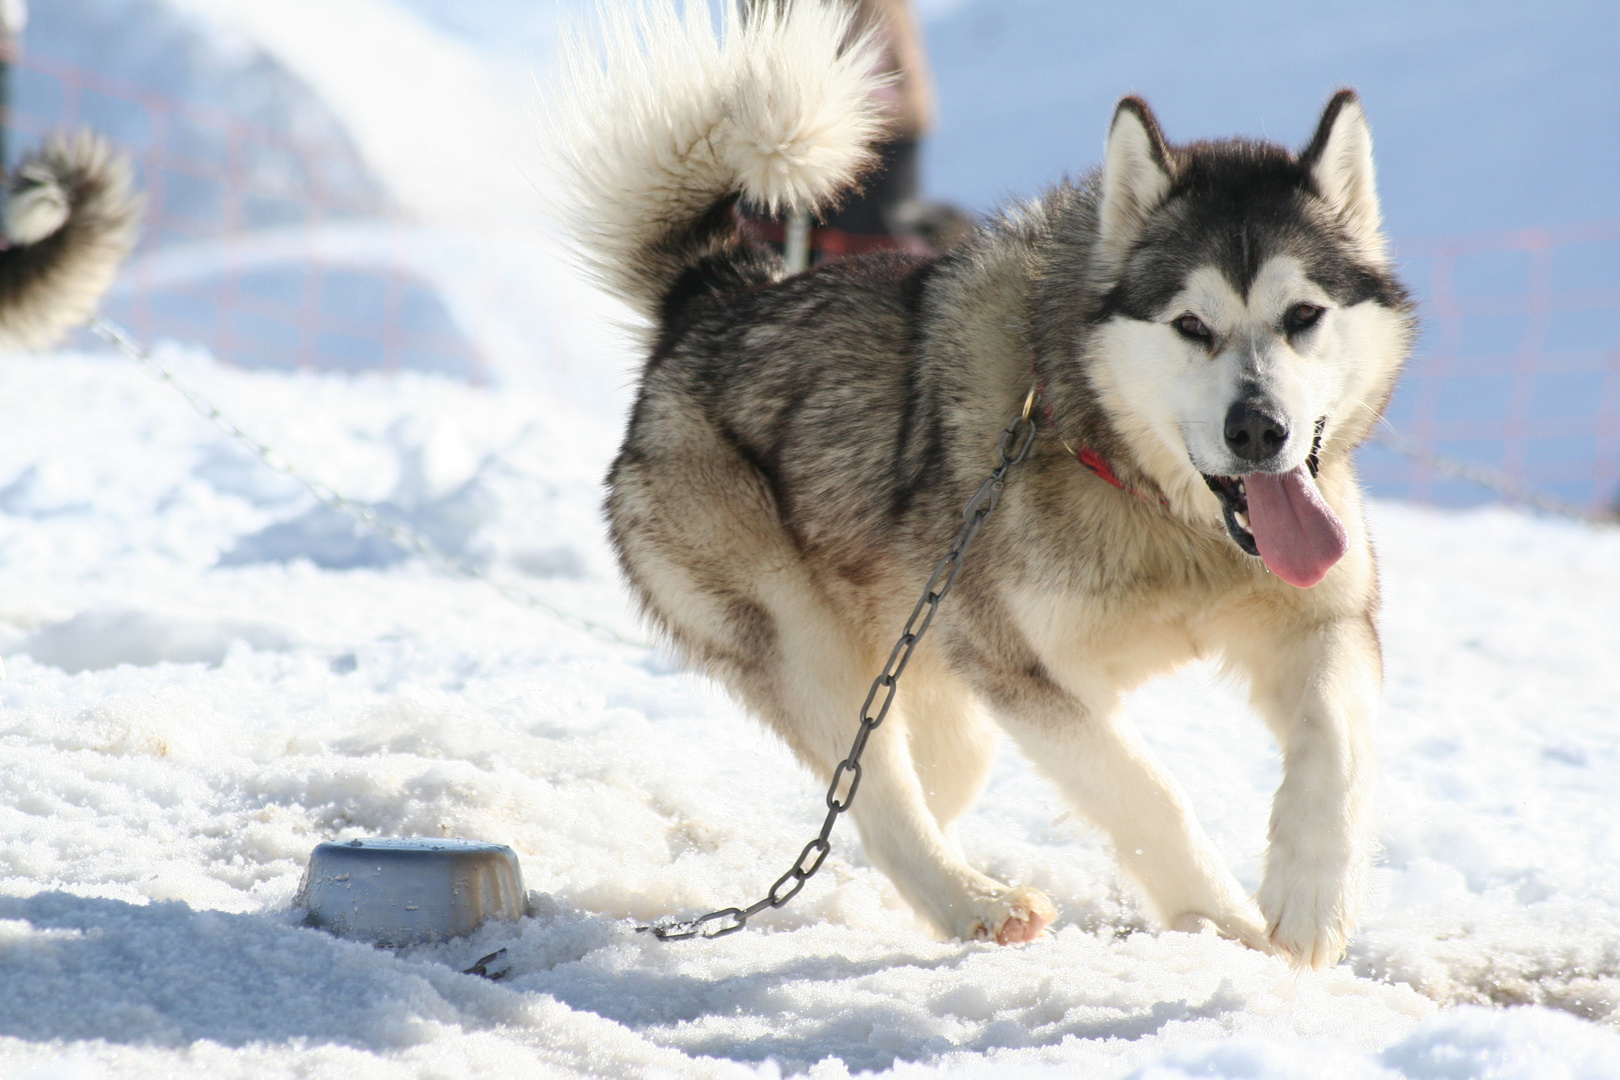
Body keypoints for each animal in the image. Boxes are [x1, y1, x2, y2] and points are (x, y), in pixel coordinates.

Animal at [550, 2, 1412, 971]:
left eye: (1303, 316)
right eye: (1192, 325)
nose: (1258, 429)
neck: (1151, 502)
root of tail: (712, 302)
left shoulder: (1324, 616)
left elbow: (1335, 741)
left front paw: (1310, 896)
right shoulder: (1020, 671)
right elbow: (1145, 791)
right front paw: (1221, 925)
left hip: (929, 685)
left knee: (898, 798)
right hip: (809, 648)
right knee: (879, 804)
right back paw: (976, 903)